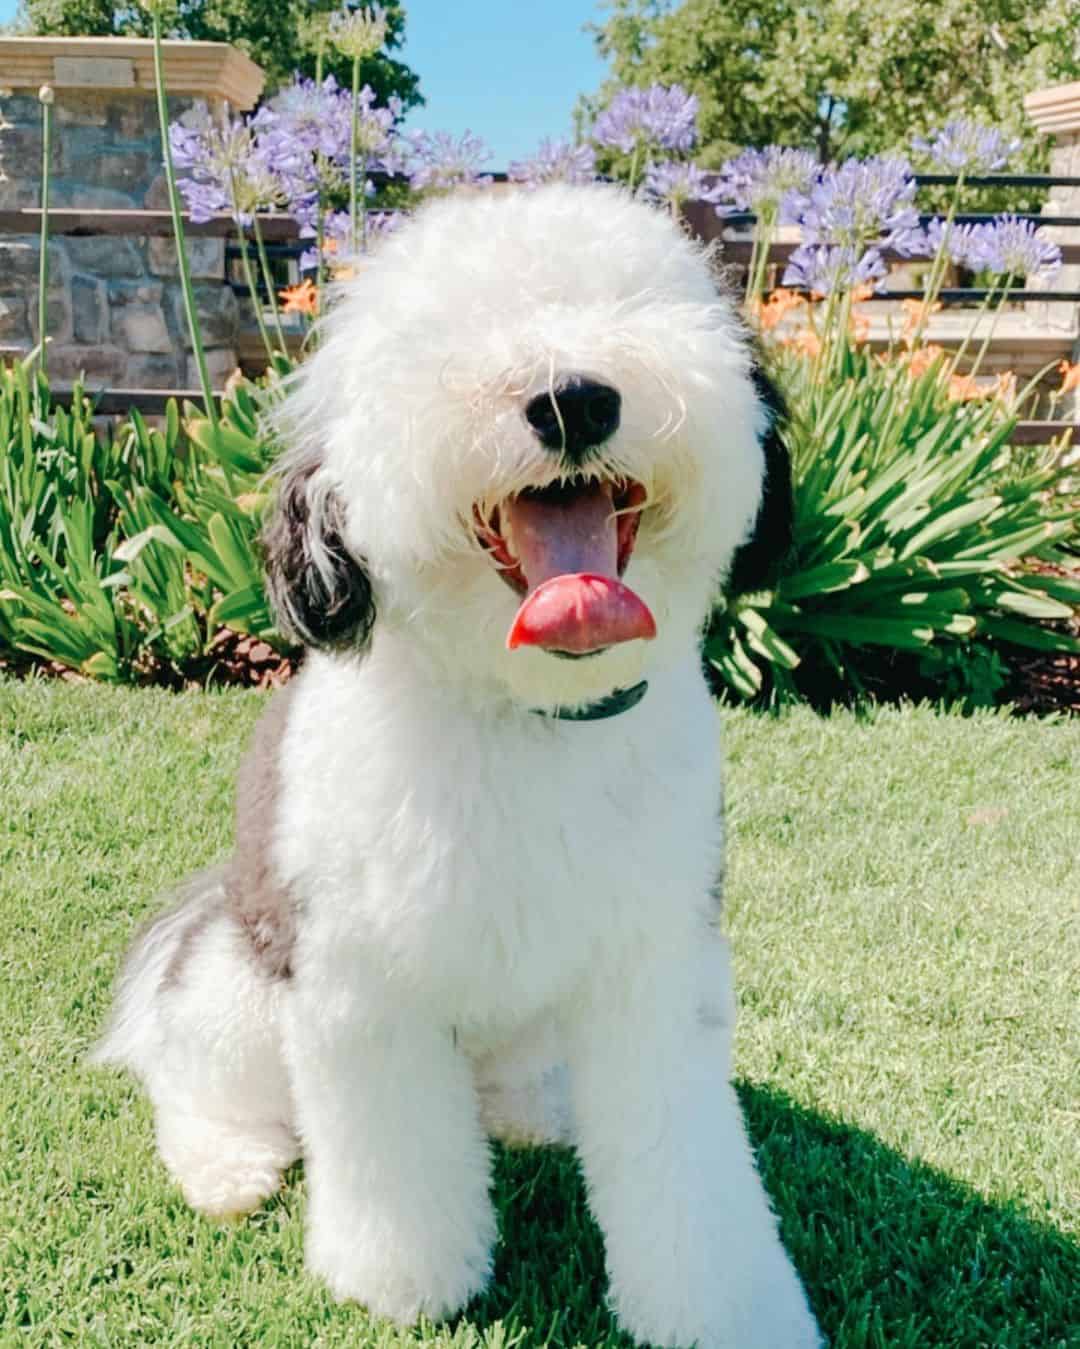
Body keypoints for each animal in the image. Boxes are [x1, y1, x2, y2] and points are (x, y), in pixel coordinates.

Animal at [93, 182, 819, 1349]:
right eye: (441, 337)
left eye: (635, 302)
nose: (572, 399)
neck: (524, 715)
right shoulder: (356, 980)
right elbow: (394, 1151)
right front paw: (403, 1279)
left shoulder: (657, 963)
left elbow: (685, 1157)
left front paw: (725, 1307)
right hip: (234, 990)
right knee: (195, 1082)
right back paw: (228, 1164)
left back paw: (534, 1117)